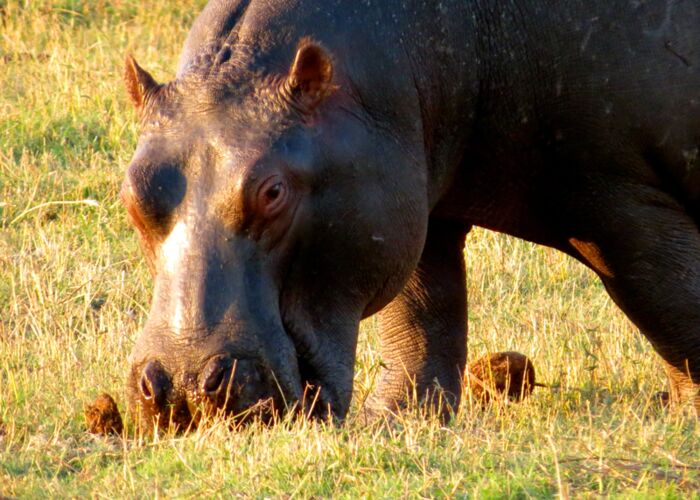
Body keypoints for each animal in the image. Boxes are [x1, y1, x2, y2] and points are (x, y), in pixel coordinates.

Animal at [121, 0, 700, 427]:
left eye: (272, 192)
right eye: (132, 190)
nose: (183, 385)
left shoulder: (620, 197)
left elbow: (670, 299)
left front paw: (687, 418)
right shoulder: (411, 201)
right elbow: (423, 314)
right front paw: (396, 421)